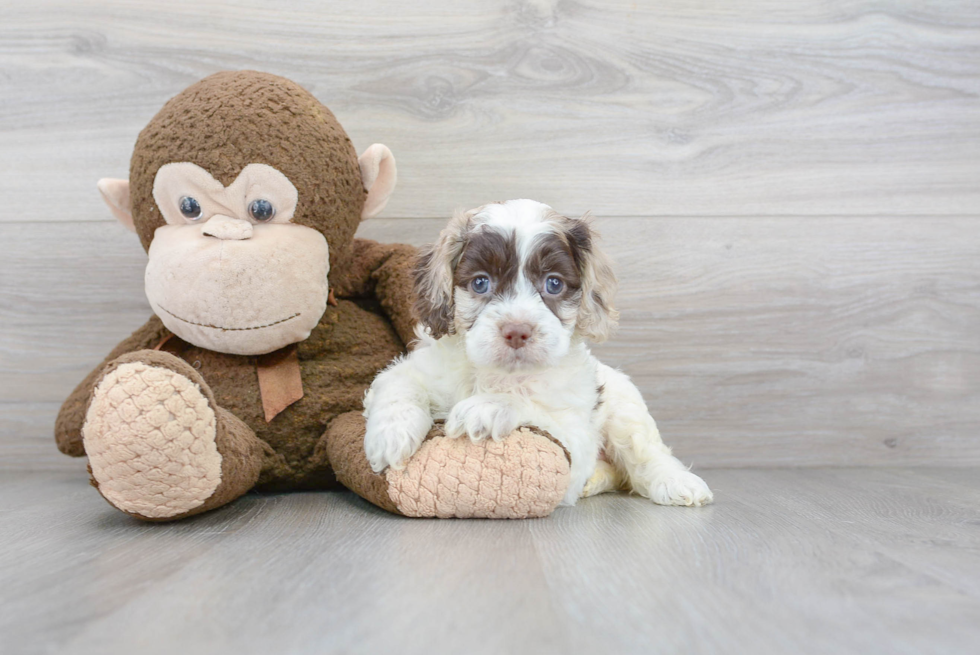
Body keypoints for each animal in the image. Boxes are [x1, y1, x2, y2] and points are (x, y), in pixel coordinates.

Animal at [360, 200, 712, 508]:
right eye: (480, 283)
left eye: (553, 284)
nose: (517, 331)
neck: (498, 374)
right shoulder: (417, 370)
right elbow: (399, 386)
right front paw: (391, 436)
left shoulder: (575, 440)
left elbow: (535, 410)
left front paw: (486, 407)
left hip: (626, 408)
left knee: (646, 453)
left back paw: (677, 482)